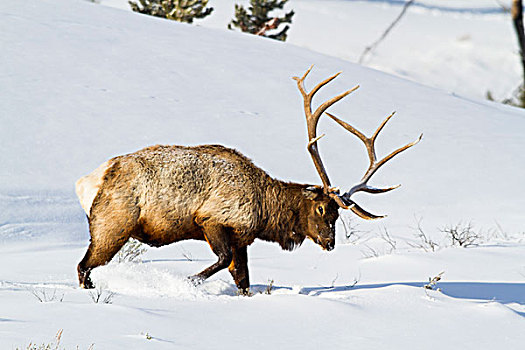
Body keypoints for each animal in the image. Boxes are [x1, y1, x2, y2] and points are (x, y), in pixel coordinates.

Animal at [74, 66, 422, 292]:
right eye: (322, 208)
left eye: (338, 214)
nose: (329, 242)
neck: (266, 212)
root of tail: (88, 181)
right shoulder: (212, 220)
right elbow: (222, 261)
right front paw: (184, 282)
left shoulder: (242, 238)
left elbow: (243, 280)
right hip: (113, 223)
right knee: (84, 266)